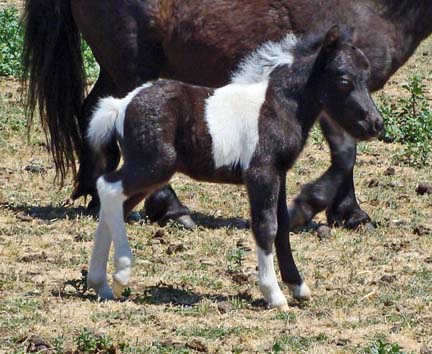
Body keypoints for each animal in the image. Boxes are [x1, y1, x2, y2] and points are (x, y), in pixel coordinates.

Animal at [22, 0, 432, 230]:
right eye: (345, 78)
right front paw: (324, 210)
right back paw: (170, 209)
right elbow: (345, 155)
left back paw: (97, 193)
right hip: (133, 67)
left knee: (93, 113)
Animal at [86, 25, 384, 310]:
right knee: (109, 188)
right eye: (344, 80)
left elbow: (282, 225)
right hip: (154, 166)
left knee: (114, 204)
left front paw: (298, 286)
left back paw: (100, 283)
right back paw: (121, 274)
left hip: (150, 173)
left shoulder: (279, 174)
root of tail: (120, 106)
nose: (375, 124)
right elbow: (266, 226)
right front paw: (274, 295)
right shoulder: (260, 173)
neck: (277, 105)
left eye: (367, 78)